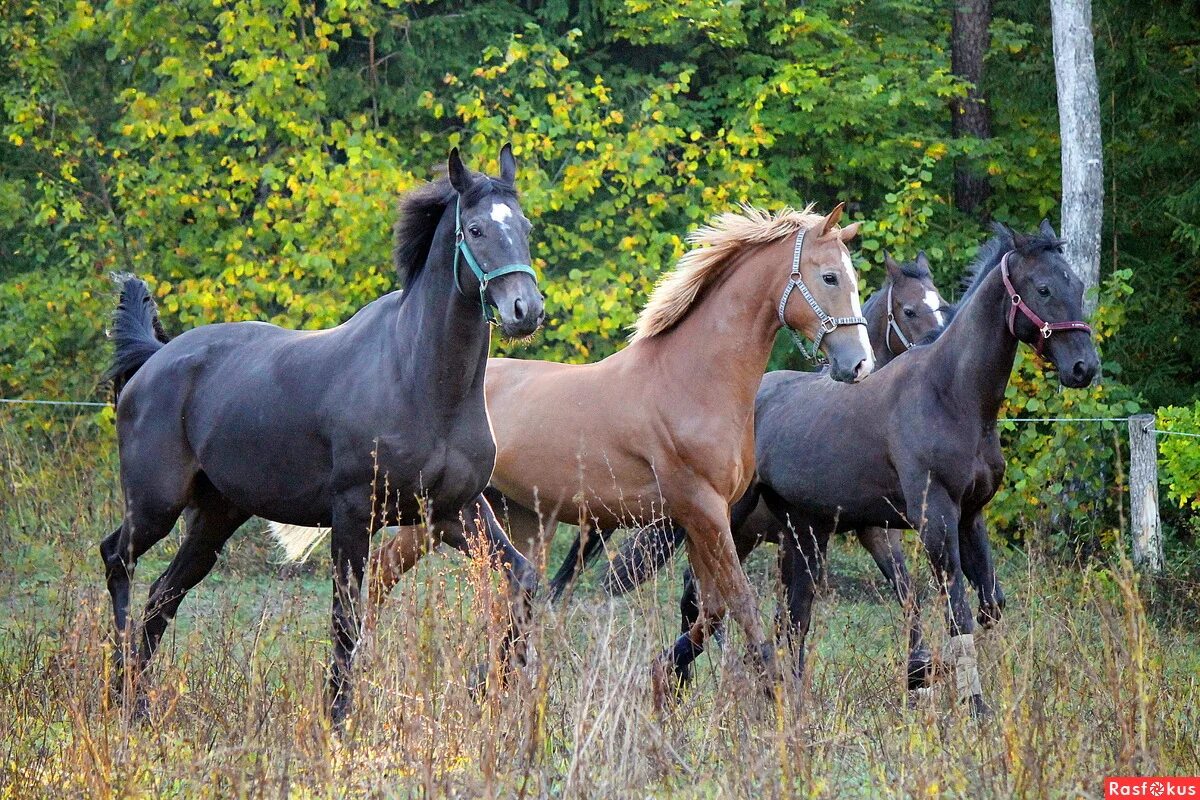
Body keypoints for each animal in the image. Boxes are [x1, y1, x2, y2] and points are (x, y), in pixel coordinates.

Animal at [100, 145, 547, 724]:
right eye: (474, 229)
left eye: (525, 227)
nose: (525, 311)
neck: (421, 381)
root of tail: (154, 360)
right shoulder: (353, 514)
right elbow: (345, 619)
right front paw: (337, 719)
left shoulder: (455, 510)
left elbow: (524, 579)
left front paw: (491, 683)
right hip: (155, 504)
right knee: (119, 561)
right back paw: (116, 694)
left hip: (215, 517)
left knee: (161, 596)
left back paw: (138, 705)